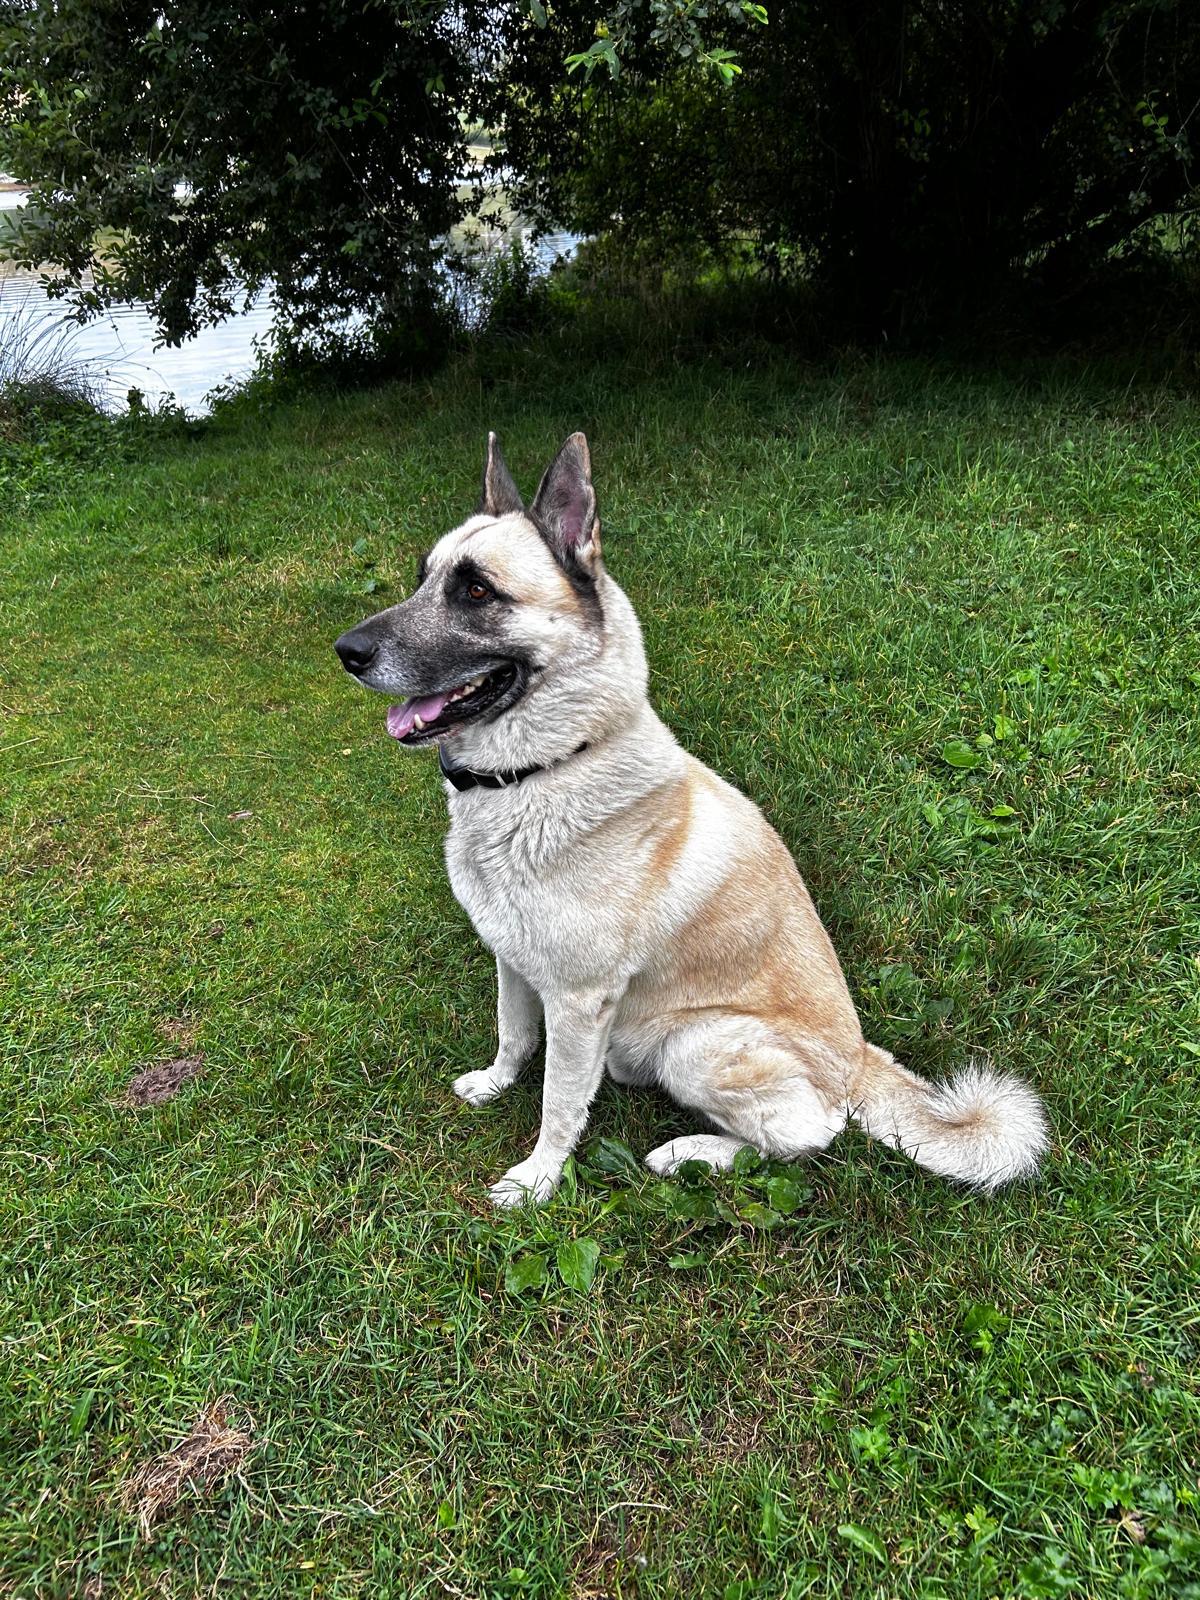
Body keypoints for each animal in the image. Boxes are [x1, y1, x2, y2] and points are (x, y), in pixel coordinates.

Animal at [334, 433, 1048, 1207]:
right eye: (423, 578)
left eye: (476, 591)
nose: (347, 652)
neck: (553, 767)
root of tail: (858, 1062)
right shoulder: (514, 963)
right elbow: (513, 1037)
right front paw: (495, 1084)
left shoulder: (579, 1003)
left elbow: (559, 1099)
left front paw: (538, 1179)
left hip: (698, 1044)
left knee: (806, 1141)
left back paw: (690, 1153)